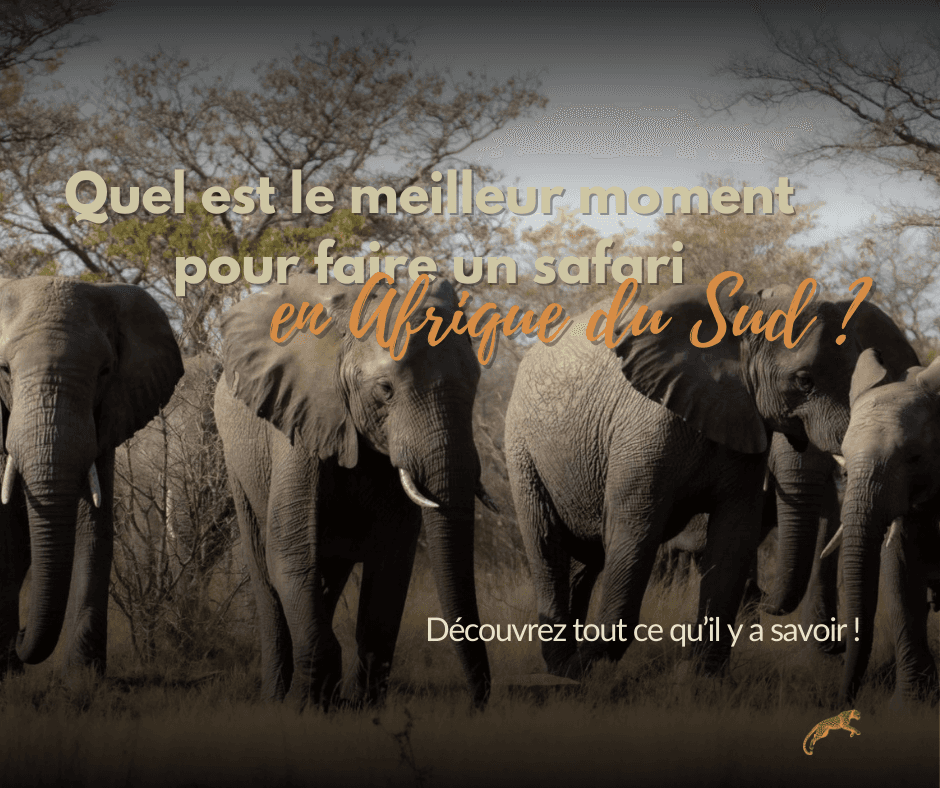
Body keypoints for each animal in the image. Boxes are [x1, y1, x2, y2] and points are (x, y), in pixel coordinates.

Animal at [0, 276, 183, 678]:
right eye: (4, 369)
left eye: (104, 372)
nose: (21, 634)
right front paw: (7, 672)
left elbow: (93, 523)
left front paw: (82, 678)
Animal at [213, 273, 492, 709]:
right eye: (385, 389)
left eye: (476, 383)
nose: (475, 705)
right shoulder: (299, 422)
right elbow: (290, 549)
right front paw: (310, 707)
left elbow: (392, 561)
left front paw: (362, 710)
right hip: (237, 465)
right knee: (268, 576)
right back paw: (276, 700)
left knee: (325, 577)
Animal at [504, 281, 911, 680]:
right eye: (803, 381)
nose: (762, 596)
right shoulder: (644, 428)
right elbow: (635, 531)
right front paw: (594, 664)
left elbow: (733, 537)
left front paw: (701, 677)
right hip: (521, 448)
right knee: (547, 542)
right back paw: (563, 667)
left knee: (584, 558)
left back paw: (568, 666)